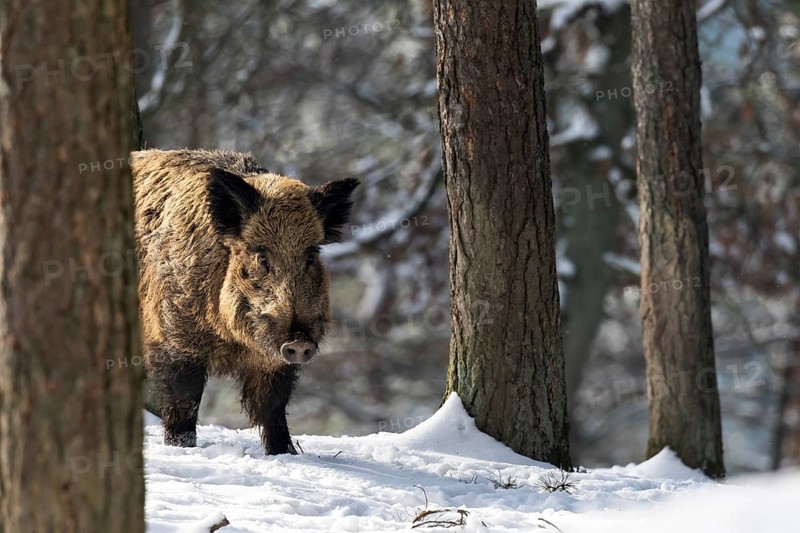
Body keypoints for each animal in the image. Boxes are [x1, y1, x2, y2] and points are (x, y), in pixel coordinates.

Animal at [131, 149, 358, 454]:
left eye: (311, 255)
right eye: (261, 257)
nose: (299, 343)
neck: (231, 341)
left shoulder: (272, 362)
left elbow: (272, 408)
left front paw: (284, 453)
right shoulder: (176, 340)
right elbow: (185, 403)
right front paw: (182, 448)